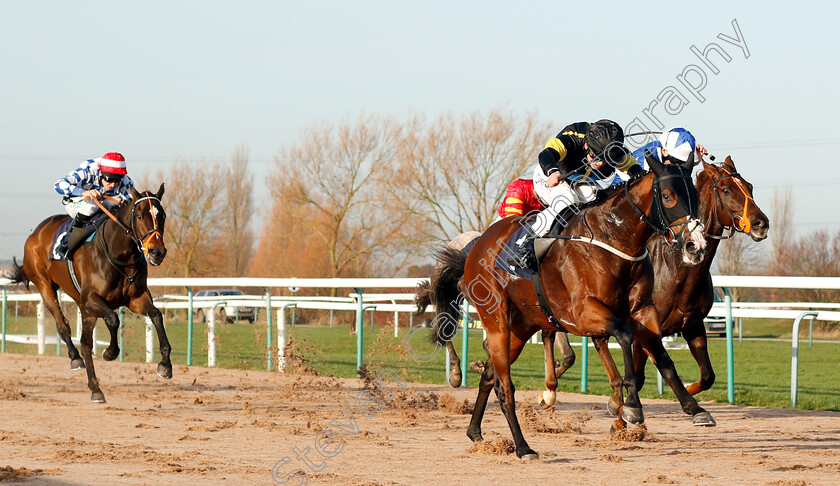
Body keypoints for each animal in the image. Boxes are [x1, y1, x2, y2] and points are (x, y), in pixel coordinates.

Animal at [11, 185, 171, 402]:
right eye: (139, 215)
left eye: (162, 215)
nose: (157, 252)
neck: (119, 254)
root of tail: (36, 232)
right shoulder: (91, 299)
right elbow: (113, 319)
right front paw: (110, 352)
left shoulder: (136, 298)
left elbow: (156, 315)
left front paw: (165, 365)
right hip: (45, 286)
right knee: (63, 327)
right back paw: (76, 359)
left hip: (83, 306)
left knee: (86, 343)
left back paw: (95, 388)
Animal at [420, 159, 708, 460]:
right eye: (668, 196)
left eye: (695, 196)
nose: (695, 246)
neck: (613, 238)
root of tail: (477, 246)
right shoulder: (581, 314)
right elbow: (624, 334)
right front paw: (631, 405)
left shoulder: (644, 310)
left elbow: (662, 356)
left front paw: (694, 407)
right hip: (496, 321)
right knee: (504, 386)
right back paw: (522, 447)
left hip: (520, 328)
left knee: (489, 376)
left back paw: (475, 430)